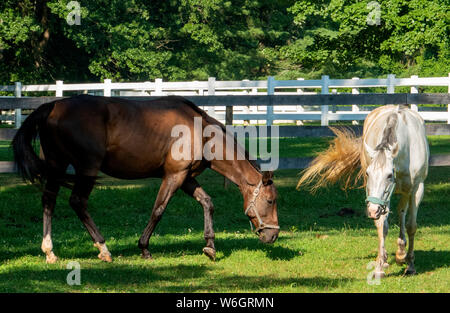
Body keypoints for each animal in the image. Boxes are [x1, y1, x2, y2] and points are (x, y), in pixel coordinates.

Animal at [12, 94, 280, 262]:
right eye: (270, 201)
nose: (273, 235)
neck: (201, 133)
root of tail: (53, 106)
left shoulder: (186, 178)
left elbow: (207, 202)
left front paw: (210, 246)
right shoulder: (174, 176)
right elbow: (158, 210)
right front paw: (144, 248)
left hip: (56, 166)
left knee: (49, 201)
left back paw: (50, 251)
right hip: (86, 169)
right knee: (77, 202)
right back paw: (103, 248)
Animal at [298, 106, 428, 276]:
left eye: (389, 175)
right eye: (367, 173)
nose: (372, 210)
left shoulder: (417, 189)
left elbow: (411, 226)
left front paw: (410, 265)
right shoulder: (381, 199)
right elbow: (382, 227)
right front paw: (380, 266)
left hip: (406, 191)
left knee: (402, 213)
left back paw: (401, 254)